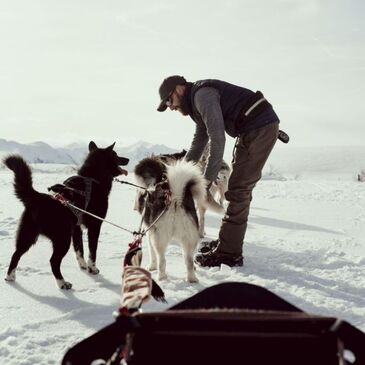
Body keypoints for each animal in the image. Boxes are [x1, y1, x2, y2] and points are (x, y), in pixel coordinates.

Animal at [3, 141, 128, 288]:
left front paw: (83, 266)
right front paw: (92, 269)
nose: (128, 159)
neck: (93, 177)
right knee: (53, 261)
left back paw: (10, 277)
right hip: (62, 239)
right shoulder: (95, 226)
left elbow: (79, 249)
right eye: (116, 155)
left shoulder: (77, 228)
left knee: (16, 254)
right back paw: (62, 283)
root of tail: (38, 197)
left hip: (28, 235)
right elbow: (92, 251)